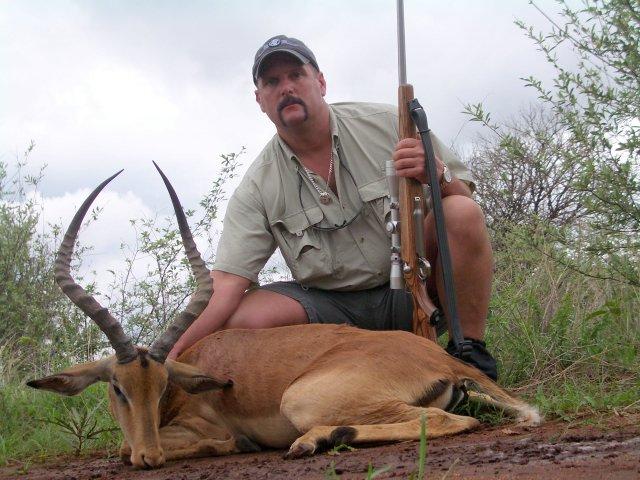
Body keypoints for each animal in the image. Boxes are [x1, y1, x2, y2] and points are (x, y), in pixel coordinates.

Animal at [27, 165, 541, 469]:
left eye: (159, 386)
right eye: (119, 388)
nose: (150, 456)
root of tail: (444, 360)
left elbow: (131, 446)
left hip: (302, 400)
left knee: (450, 421)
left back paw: (313, 441)